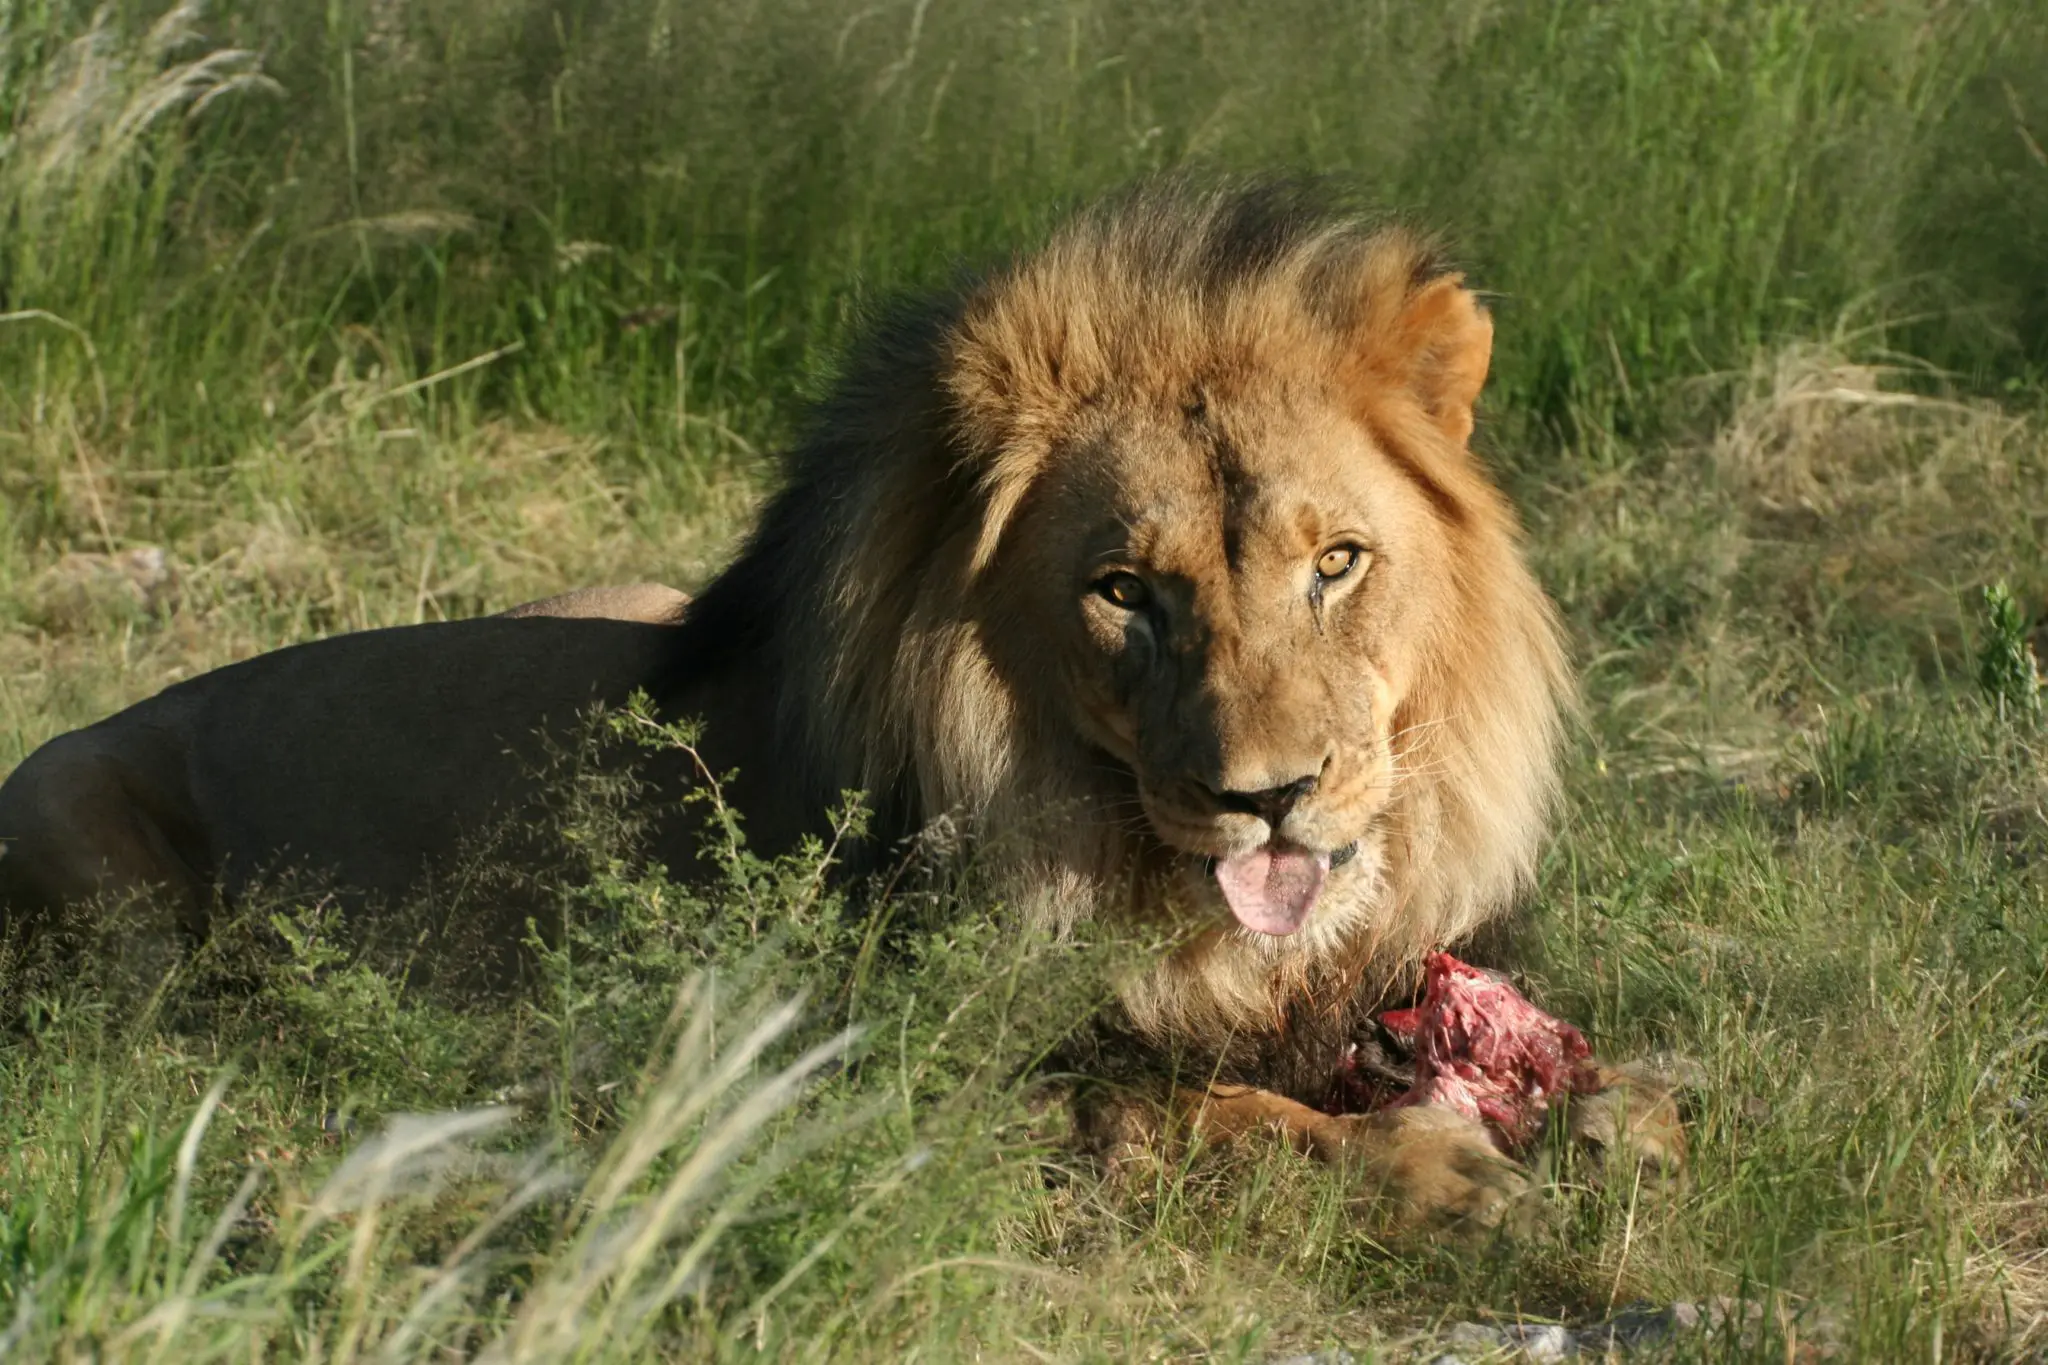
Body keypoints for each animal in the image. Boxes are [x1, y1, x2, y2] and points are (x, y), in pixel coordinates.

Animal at [0, 179, 1680, 1228]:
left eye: (1336, 562)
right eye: (1125, 591)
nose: (1268, 798)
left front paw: (1623, 1110)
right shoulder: (899, 1067)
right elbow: (1205, 1110)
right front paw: (1429, 1174)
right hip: (90, 852)